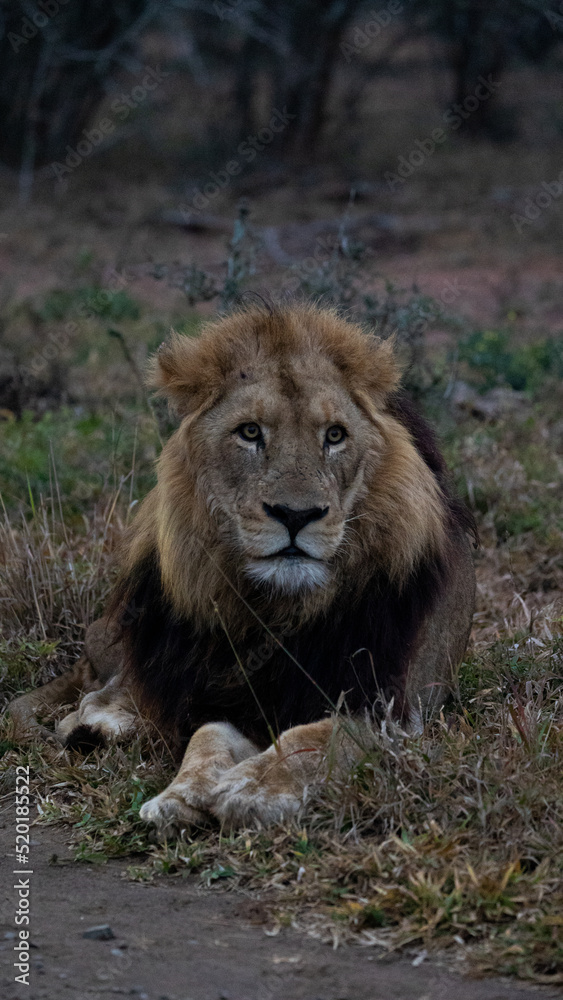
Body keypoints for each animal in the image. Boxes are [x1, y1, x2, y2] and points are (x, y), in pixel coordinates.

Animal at [7, 304, 476, 831]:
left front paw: (251, 787)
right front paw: (182, 793)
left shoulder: (399, 711)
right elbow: (207, 733)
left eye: (335, 435)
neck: (281, 611)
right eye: (250, 432)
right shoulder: (227, 696)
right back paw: (95, 726)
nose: (295, 514)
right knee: (101, 691)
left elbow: (321, 735)